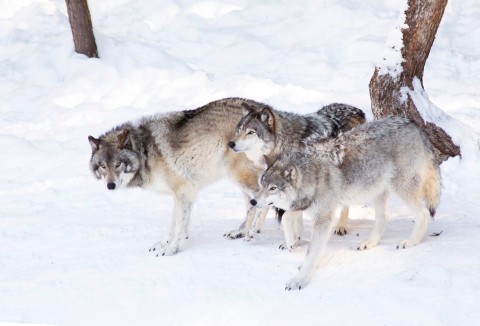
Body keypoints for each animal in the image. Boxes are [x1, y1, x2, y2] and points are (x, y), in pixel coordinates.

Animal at [87, 98, 276, 256]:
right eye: (103, 166)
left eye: (118, 164)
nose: (110, 185)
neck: (145, 151)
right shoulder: (179, 194)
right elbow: (174, 223)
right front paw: (165, 243)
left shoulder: (184, 191)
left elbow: (178, 226)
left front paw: (171, 249)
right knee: (251, 205)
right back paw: (240, 232)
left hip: (240, 176)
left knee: (263, 202)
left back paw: (252, 233)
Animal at [225, 102, 364, 247]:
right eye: (239, 130)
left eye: (251, 132)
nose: (231, 143)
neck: (284, 145)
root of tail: (357, 110)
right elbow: (261, 207)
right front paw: (247, 231)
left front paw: (292, 241)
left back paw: (341, 226)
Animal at [251, 116, 442, 290]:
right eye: (262, 183)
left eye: (273, 188)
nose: (253, 201)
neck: (313, 175)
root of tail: (413, 124)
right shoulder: (311, 208)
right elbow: (287, 219)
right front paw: (291, 242)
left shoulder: (324, 218)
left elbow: (311, 251)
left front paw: (299, 279)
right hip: (377, 191)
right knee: (383, 219)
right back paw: (369, 243)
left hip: (401, 188)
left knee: (423, 213)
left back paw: (411, 242)